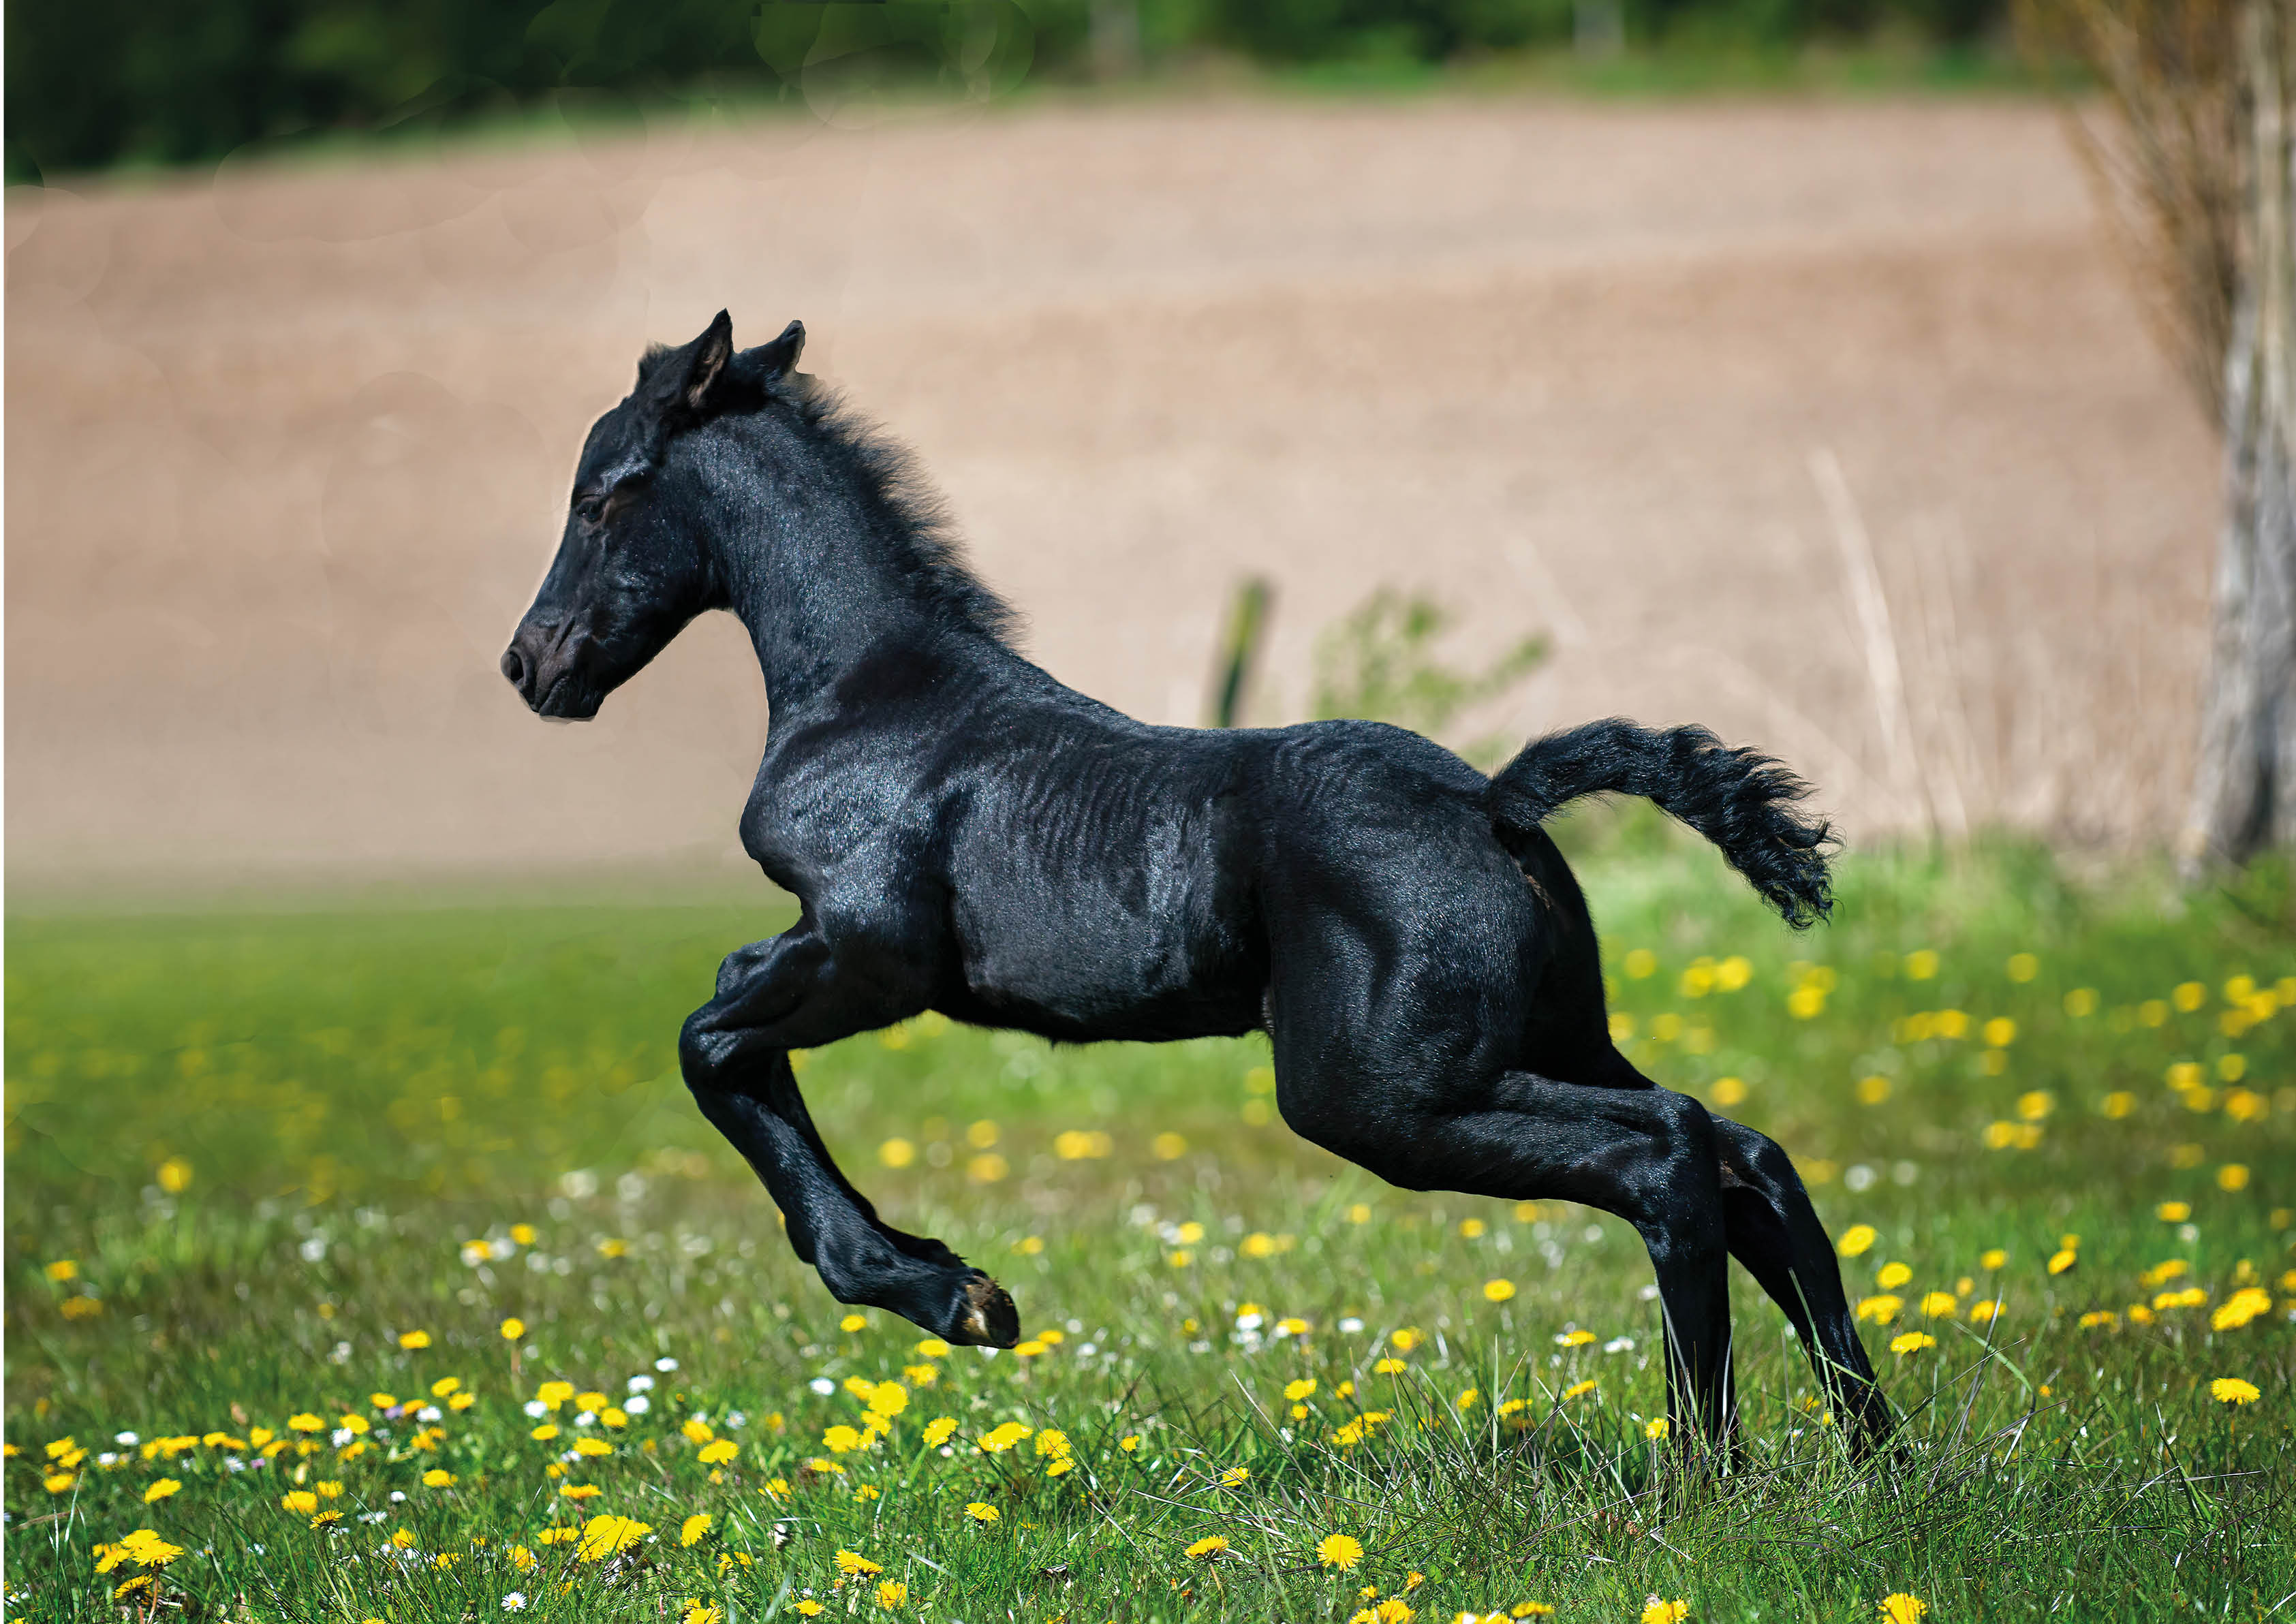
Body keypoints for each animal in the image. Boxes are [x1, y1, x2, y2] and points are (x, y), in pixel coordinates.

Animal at [501, 311, 1890, 1454]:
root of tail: (1494, 800)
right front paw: (944, 1275)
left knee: (1670, 1153)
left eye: (598, 497)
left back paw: (1703, 1465)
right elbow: (731, 1026)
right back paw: (1873, 1455)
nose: (531, 664)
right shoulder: (828, 950)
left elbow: (710, 1039)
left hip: (1382, 1093)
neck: (871, 693)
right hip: (1539, 1040)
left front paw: (952, 1293)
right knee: (1746, 1151)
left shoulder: (872, 953)